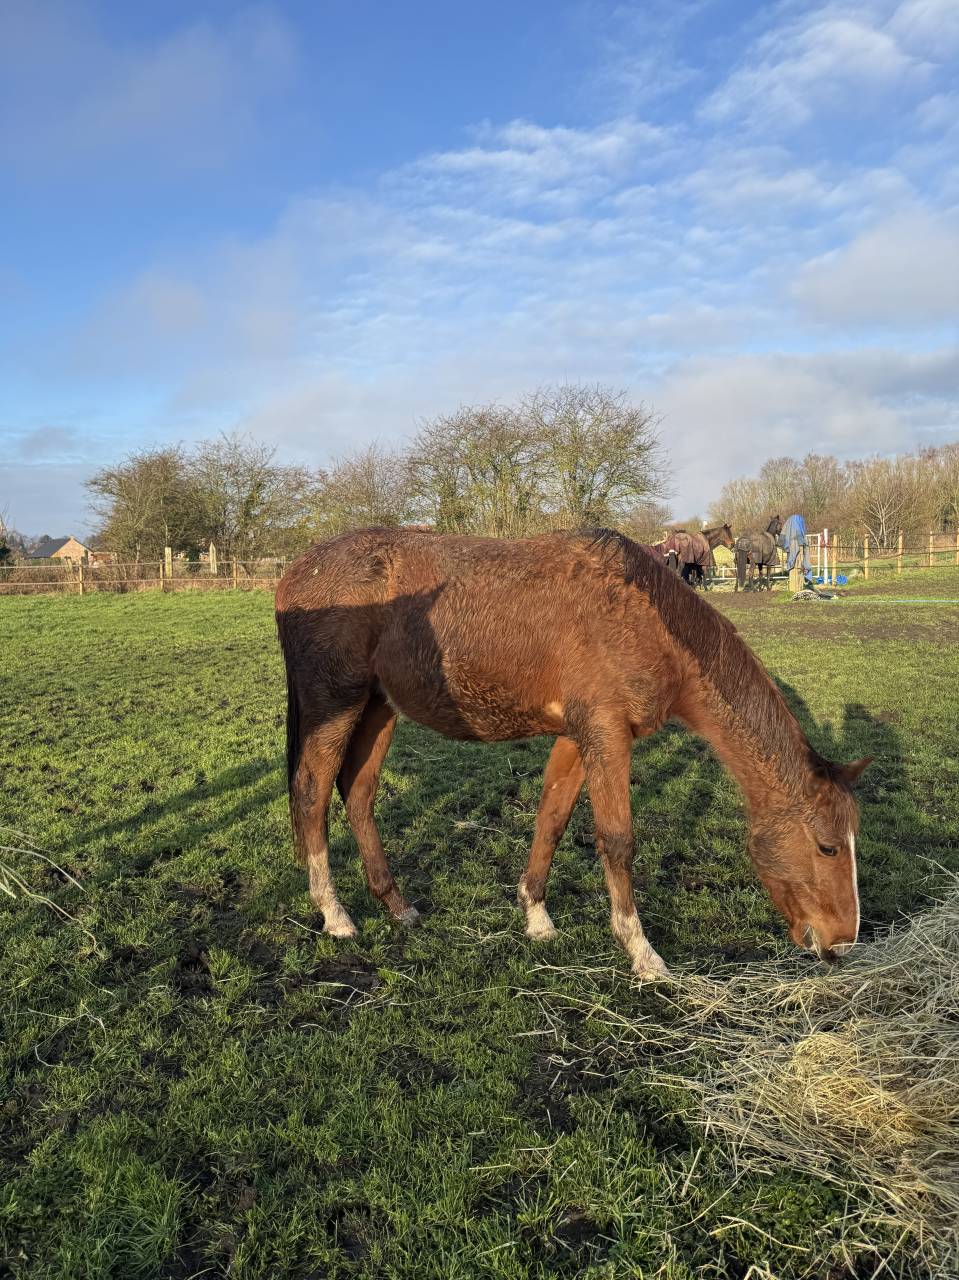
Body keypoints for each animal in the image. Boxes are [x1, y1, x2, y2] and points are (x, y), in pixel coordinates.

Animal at [276, 527, 869, 978]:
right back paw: (335, 914)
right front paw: (642, 953)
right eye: (827, 847)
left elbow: (552, 819)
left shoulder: (576, 738)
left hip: (378, 708)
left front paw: (536, 916)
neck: (640, 614)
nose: (842, 942)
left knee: (357, 794)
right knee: (311, 793)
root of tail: (296, 572)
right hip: (335, 705)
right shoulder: (606, 734)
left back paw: (397, 906)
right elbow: (617, 840)